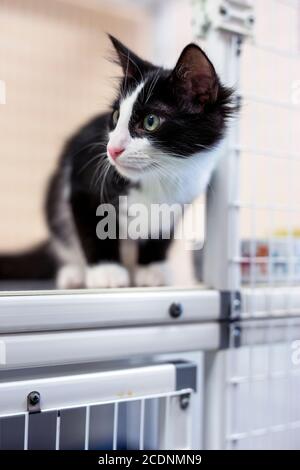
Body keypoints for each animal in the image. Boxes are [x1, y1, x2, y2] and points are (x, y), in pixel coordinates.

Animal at [0, 35, 234, 286]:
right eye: (115, 116)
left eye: (151, 121)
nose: (112, 149)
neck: (159, 176)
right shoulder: (82, 179)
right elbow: (94, 226)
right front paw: (107, 272)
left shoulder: (184, 195)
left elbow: (161, 234)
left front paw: (151, 269)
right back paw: (74, 273)